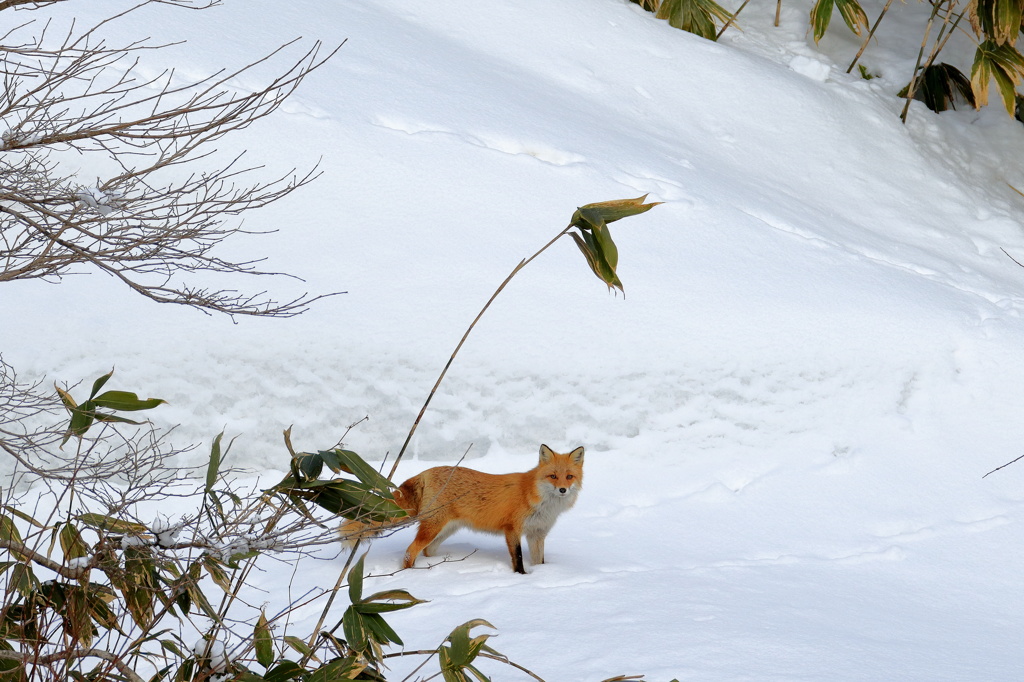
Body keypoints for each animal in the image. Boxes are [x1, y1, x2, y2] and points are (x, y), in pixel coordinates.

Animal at [339, 444, 585, 569]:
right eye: (553, 476)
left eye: (569, 477)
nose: (563, 490)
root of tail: (426, 472)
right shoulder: (512, 530)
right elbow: (518, 560)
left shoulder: (537, 534)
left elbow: (539, 561)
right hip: (433, 527)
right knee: (410, 552)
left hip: (445, 530)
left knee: (426, 551)